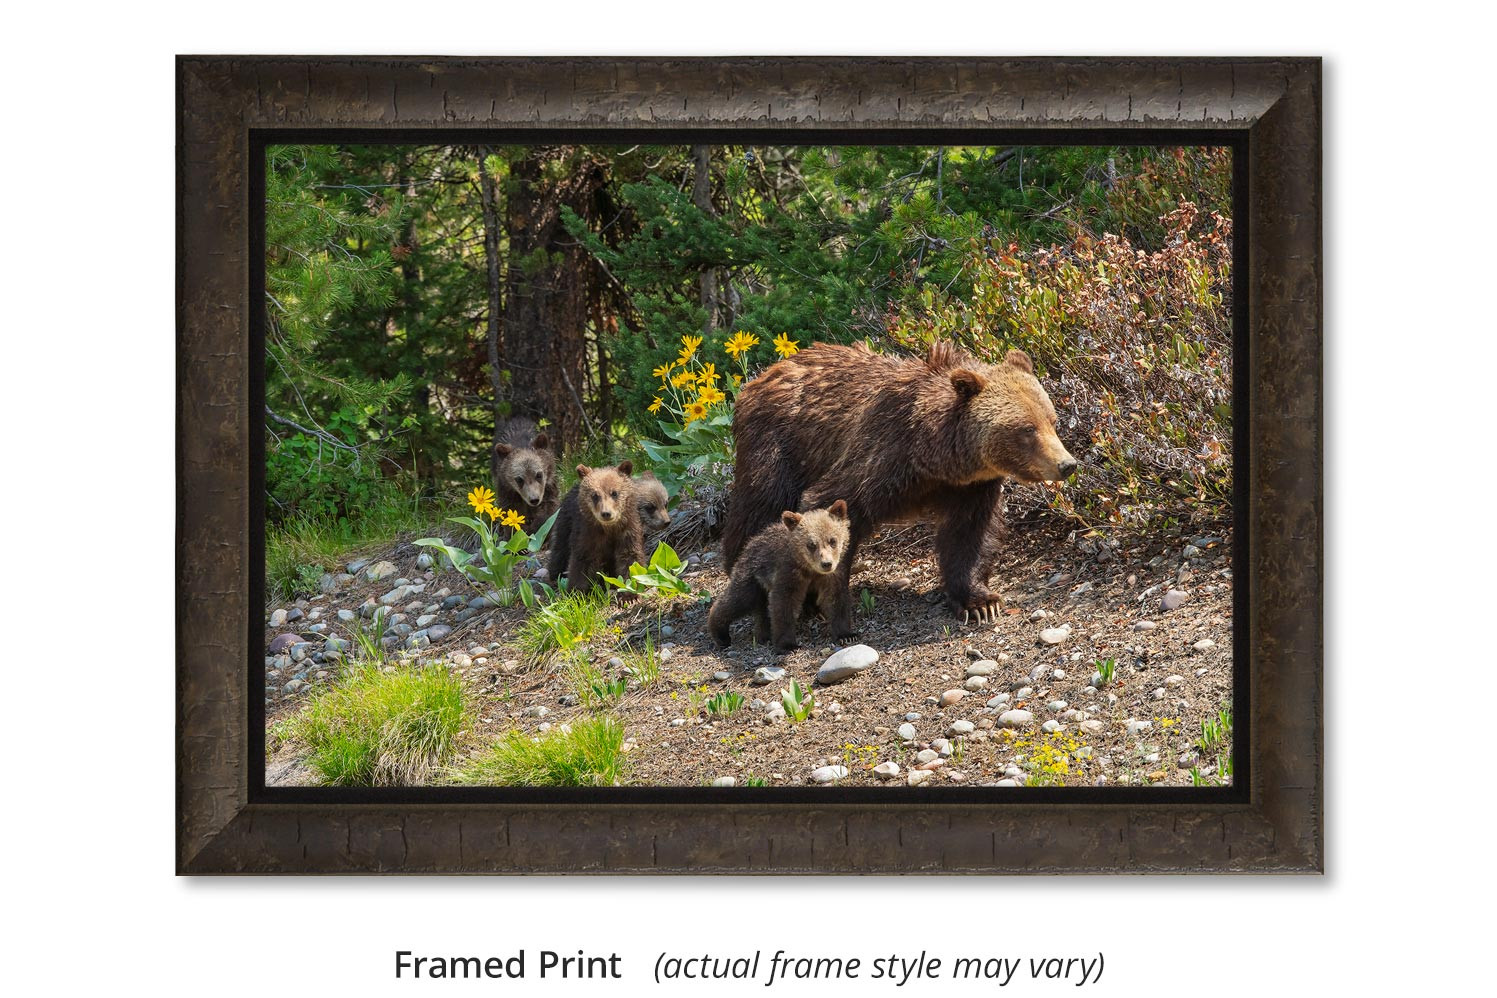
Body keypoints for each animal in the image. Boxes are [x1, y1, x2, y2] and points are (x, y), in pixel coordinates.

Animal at [565, 461, 647, 592]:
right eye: (595, 495)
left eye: (614, 493)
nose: (606, 513)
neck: (609, 529)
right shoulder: (587, 534)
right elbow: (581, 561)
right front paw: (576, 590)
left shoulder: (628, 531)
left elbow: (630, 559)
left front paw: (630, 591)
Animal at [708, 500, 852, 652]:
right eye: (811, 544)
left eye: (832, 540)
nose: (826, 564)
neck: (810, 570)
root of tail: (750, 542)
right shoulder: (788, 572)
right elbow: (783, 604)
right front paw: (788, 644)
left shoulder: (832, 575)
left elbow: (835, 598)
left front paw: (845, 634)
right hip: (752, 575)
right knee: (738, 599)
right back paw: (720, 634)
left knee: (761, 609)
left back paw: (763, 635)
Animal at [721, 339, 1076, 625]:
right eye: (1026, 429)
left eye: (1052, 420)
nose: (1067, 464)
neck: (932, 456)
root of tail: (758, 379)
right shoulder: (878, 456)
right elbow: (828, 507)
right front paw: (817, 595)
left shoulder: (971, 487)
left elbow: (969, 535)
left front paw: (979, 602)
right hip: (776, 449)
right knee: (757, 509)